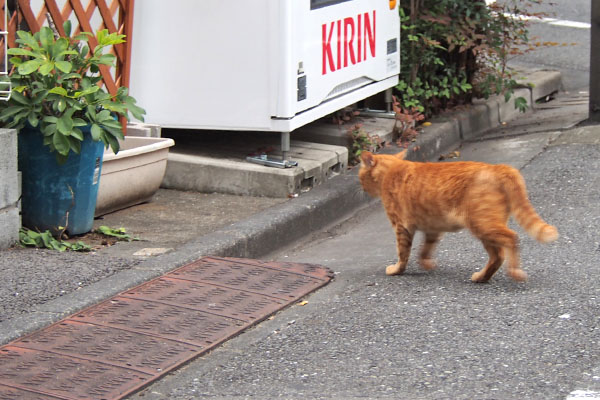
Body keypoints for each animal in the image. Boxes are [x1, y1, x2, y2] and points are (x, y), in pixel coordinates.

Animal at [356, 148, 556, 282]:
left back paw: (514, 271)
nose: (361, 188)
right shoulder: (432, 227)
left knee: (511, 239)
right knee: (498, 255)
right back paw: (482, 277)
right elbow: (425, 249)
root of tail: (498, 167)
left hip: (482, 224)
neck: (391, 171)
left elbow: (402, 253)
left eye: (360, 176)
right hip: (484, 228)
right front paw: (426, 263)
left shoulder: (401, 227)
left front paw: (397, 269)